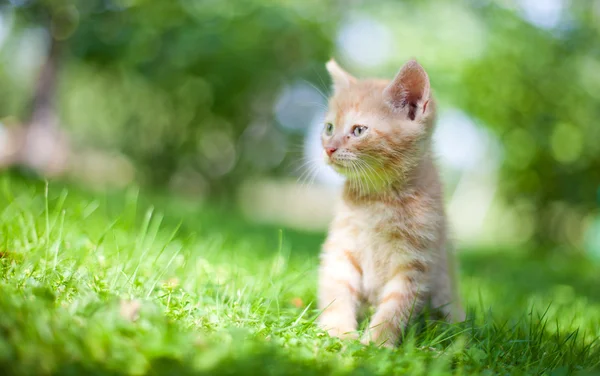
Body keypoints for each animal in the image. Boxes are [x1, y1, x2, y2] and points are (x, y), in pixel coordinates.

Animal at [318, 58, 464, 346]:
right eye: (329, 128)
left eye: (358, 130)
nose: (328, 148)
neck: (378, 199)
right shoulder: (342, 246)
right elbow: (337, 288)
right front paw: (338, 331)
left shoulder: (416, 261)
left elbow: (396, 306)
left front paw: (376, 344)